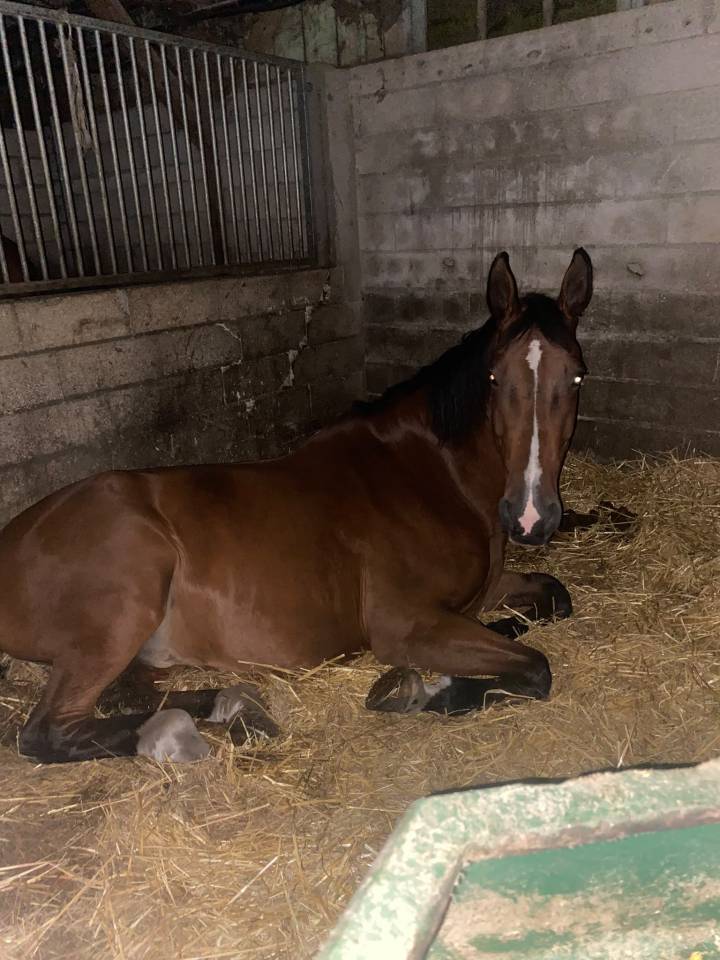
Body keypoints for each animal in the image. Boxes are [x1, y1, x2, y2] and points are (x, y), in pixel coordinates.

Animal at [0, 248, 594, 764]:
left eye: (576, 376)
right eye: (495, 377)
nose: (531, 517)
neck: (432, 474)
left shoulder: (480, 593)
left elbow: (555, 598)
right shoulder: (409, 626)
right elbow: (536, 668)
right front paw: (433, 691)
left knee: (134, 695)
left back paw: (227, 705)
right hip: (123, 608)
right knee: (50, 732)